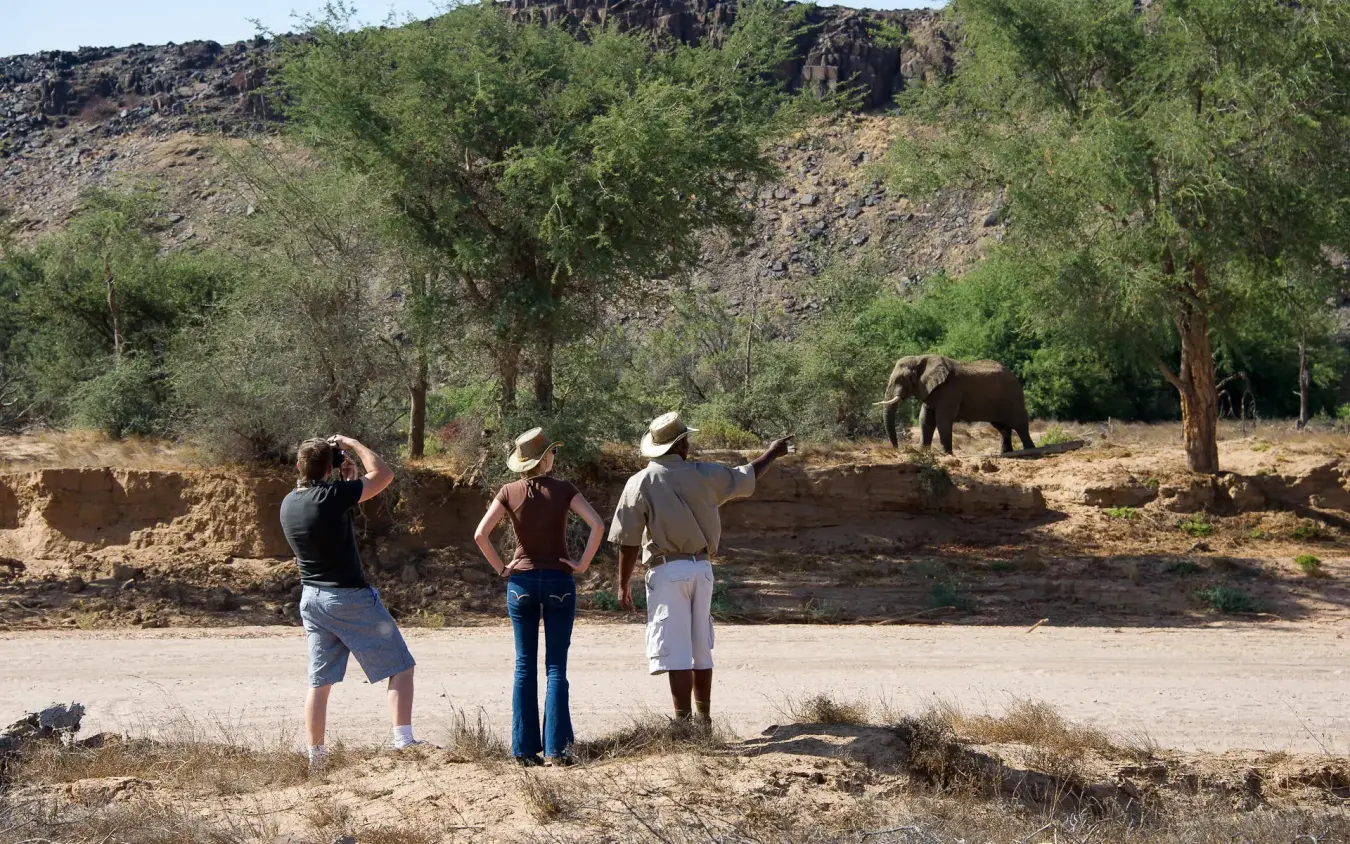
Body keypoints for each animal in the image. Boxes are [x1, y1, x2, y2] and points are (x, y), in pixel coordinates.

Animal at [876, 354, 1035, 455]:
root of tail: (1014, 376)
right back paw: (1006, 453)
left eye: (900, 379)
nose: (898, 449)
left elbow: (942, 419)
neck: (920, 358)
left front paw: (945, 454)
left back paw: (1029, 450)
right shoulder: (930, 390)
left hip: (1013, 396)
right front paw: (923, 452)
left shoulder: (949, 390)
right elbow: (925, 419)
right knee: (1002, 427)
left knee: (1019, 424)